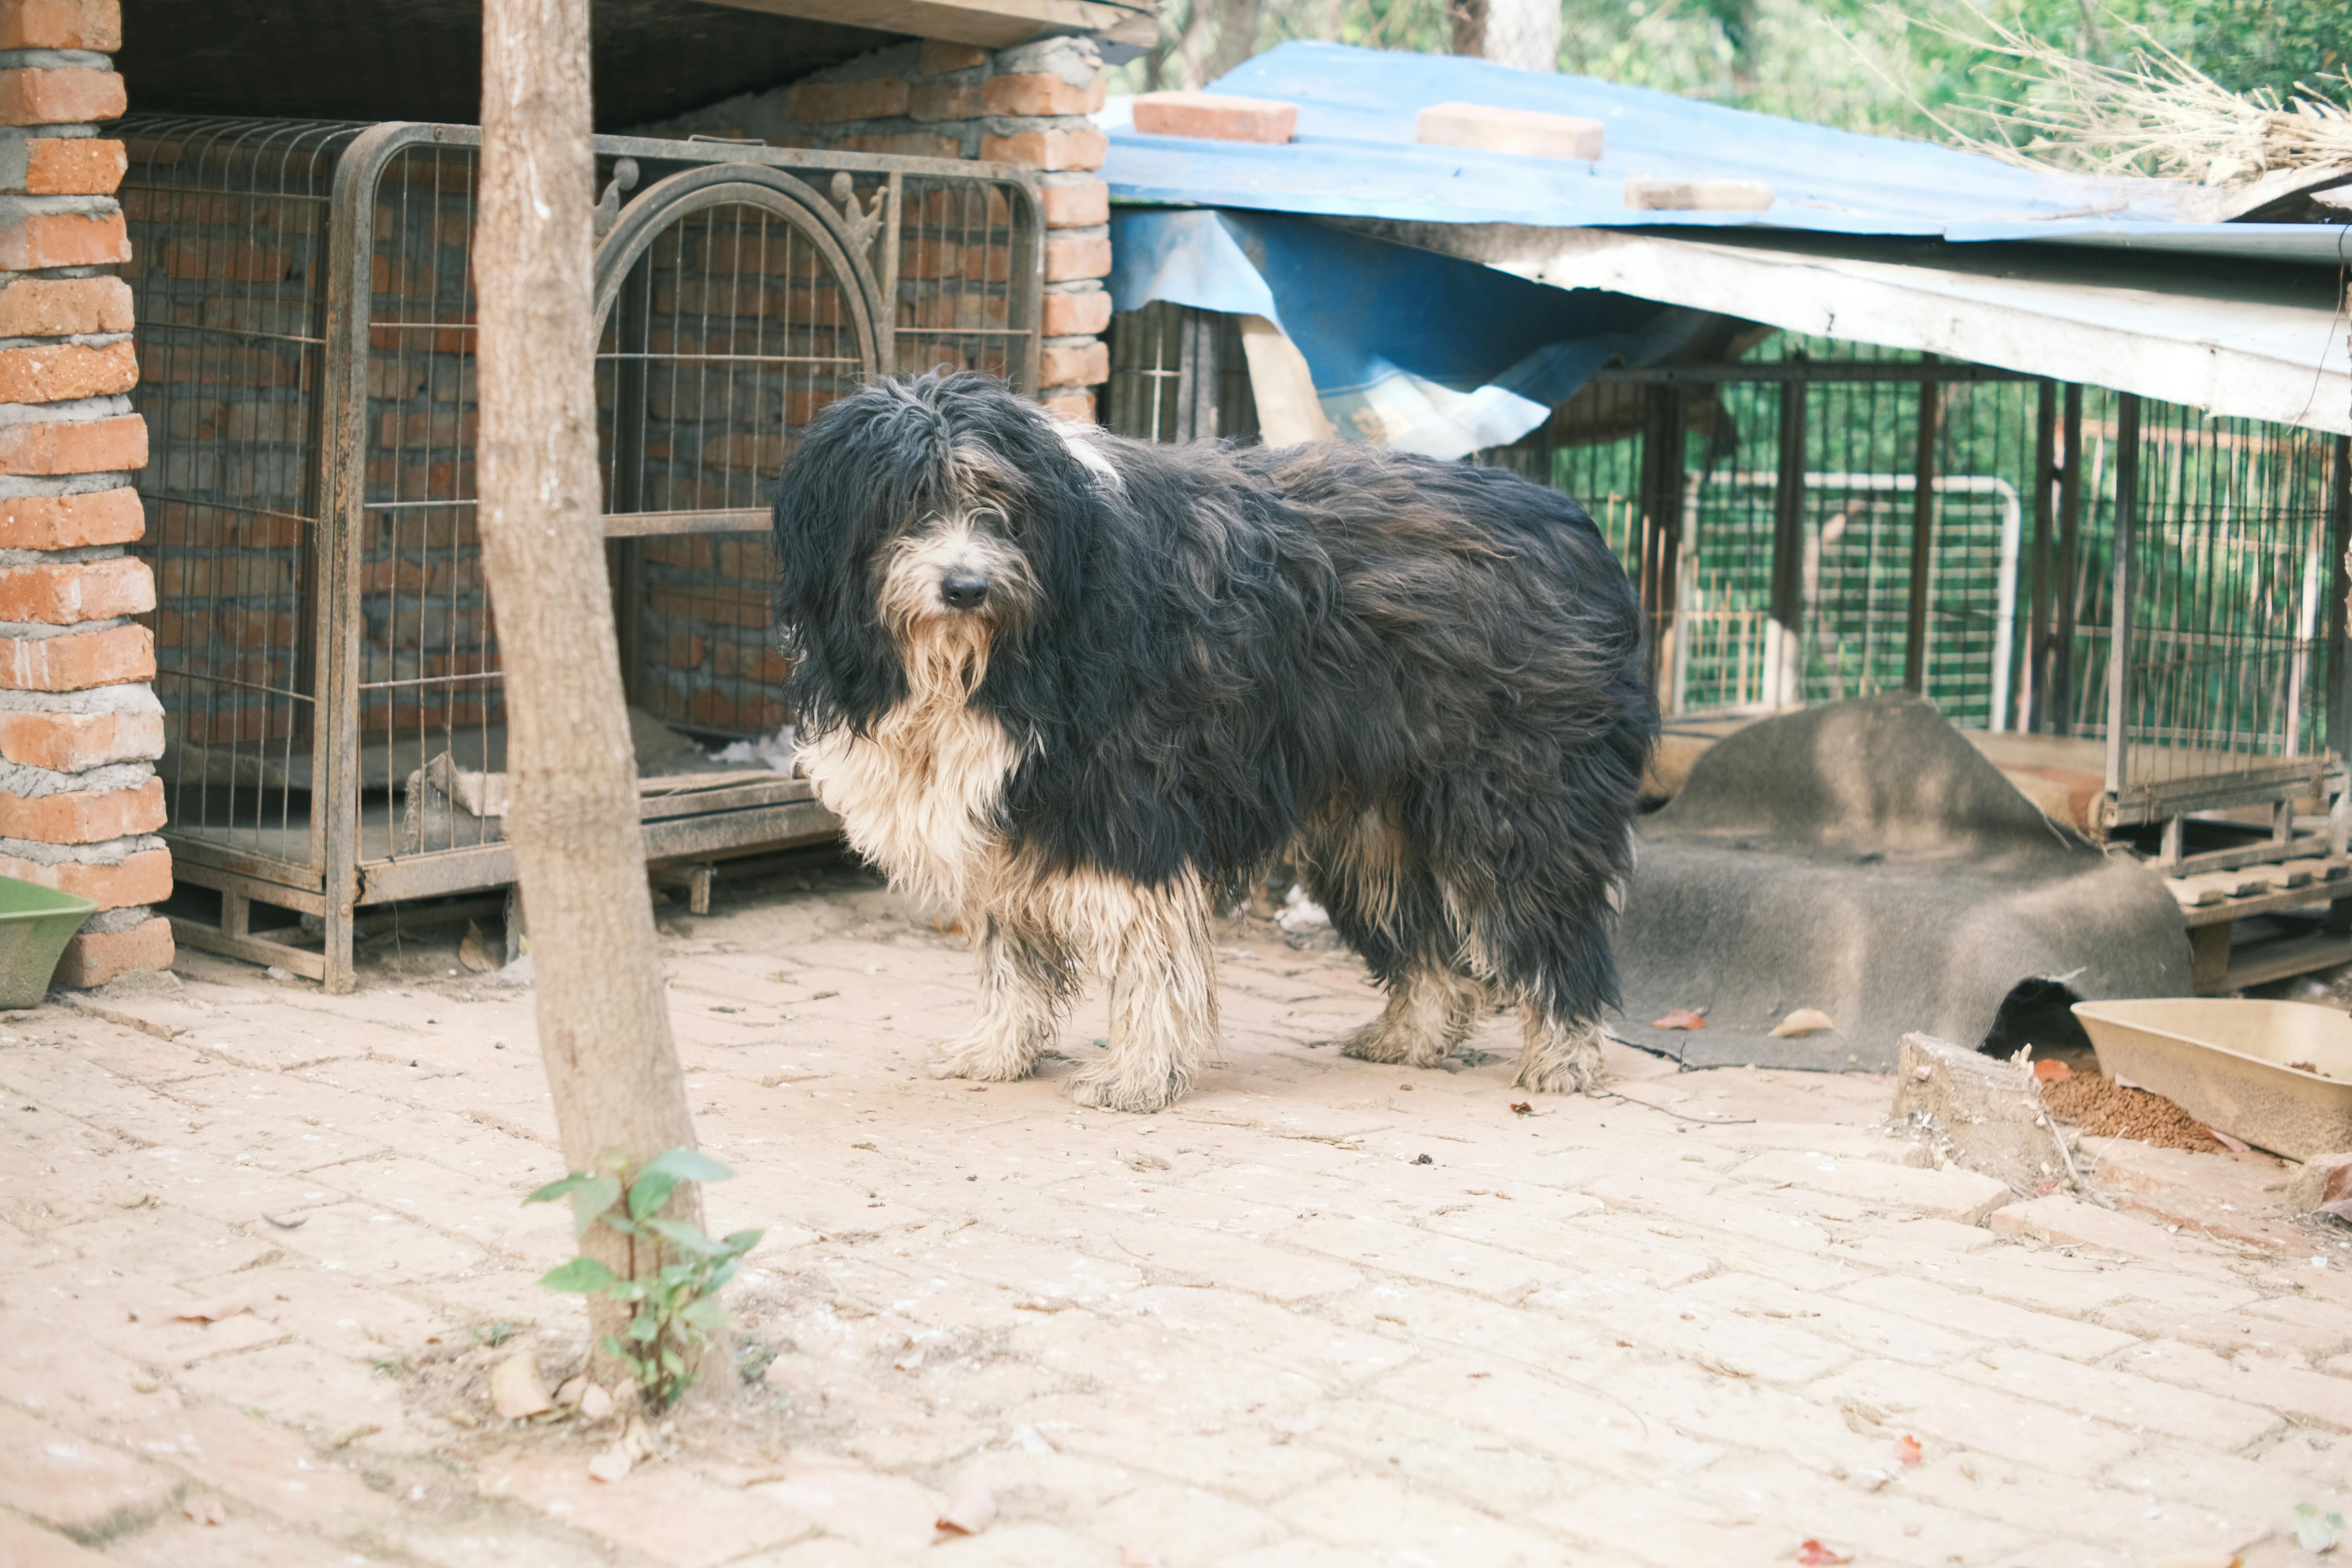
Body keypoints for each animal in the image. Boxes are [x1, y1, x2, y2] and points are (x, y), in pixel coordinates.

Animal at [771, 374, 1655, 1114]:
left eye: (998, 504)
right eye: (905, 505)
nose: (966, 587)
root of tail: (1577, 525)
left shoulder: (1131, 804)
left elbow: (1148, 954)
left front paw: (1137, 1075)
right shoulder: (1017, 817)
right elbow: (1011, 951)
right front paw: (998, 1050)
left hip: (1518, 794)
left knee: (1552, 919)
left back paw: (1565, 1053)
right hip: (1375, 818)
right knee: (1426, 936)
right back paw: (1412, 1034)